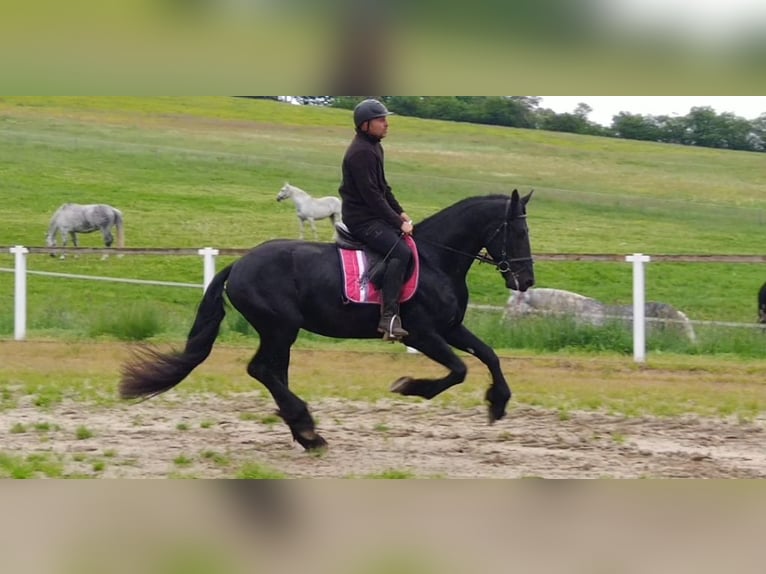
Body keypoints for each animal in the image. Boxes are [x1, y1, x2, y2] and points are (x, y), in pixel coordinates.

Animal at [120, 191, 535, 451]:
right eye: (517, 231)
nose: (526, 281)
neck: (436, 260)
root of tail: (238, 265)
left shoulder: (450, 328)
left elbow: (489, 355)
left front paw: (498, 403)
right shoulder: (422, 334)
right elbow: (460, 369)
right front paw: (410, 387)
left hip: (280, 333)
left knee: (273, 372)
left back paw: (303, 432)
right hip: (280, 328)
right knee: (262, 370)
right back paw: (307, 428)